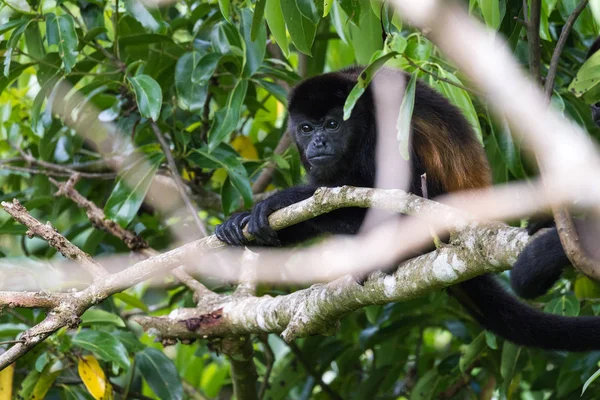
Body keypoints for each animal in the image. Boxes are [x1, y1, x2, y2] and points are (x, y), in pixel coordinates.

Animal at [218, 65, 600, 350]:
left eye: (333, 123)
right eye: (307, 128)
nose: (319, 142)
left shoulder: (383, 127)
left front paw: (275, 201)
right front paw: (243, 223)